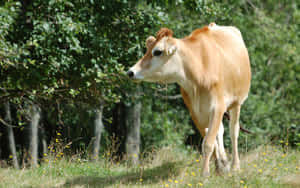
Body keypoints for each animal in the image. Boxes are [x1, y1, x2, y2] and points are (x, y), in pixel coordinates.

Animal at [126, 22, 251, 176]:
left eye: (157, 52)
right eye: (147, 50)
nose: (130, 72)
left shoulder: (218, 106)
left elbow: (208, 143)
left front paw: (205, 173)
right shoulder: (195, 111)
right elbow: (210, 139)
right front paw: (219, 167)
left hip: (236, 102)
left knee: (234, 131)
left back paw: (235, 166)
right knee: (220, 131)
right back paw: (224, 162)